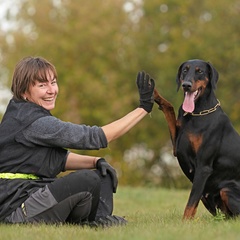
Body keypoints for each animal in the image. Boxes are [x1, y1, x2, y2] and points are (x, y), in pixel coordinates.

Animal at [154, 58, 240, 219]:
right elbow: (169, 108)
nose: (186, 85)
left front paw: (184, 223)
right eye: (185, 70)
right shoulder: (176, 147)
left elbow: (190, 203)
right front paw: (154, 93)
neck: (197, 113)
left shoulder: (203, 167)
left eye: (200, 71)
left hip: (227, 189)